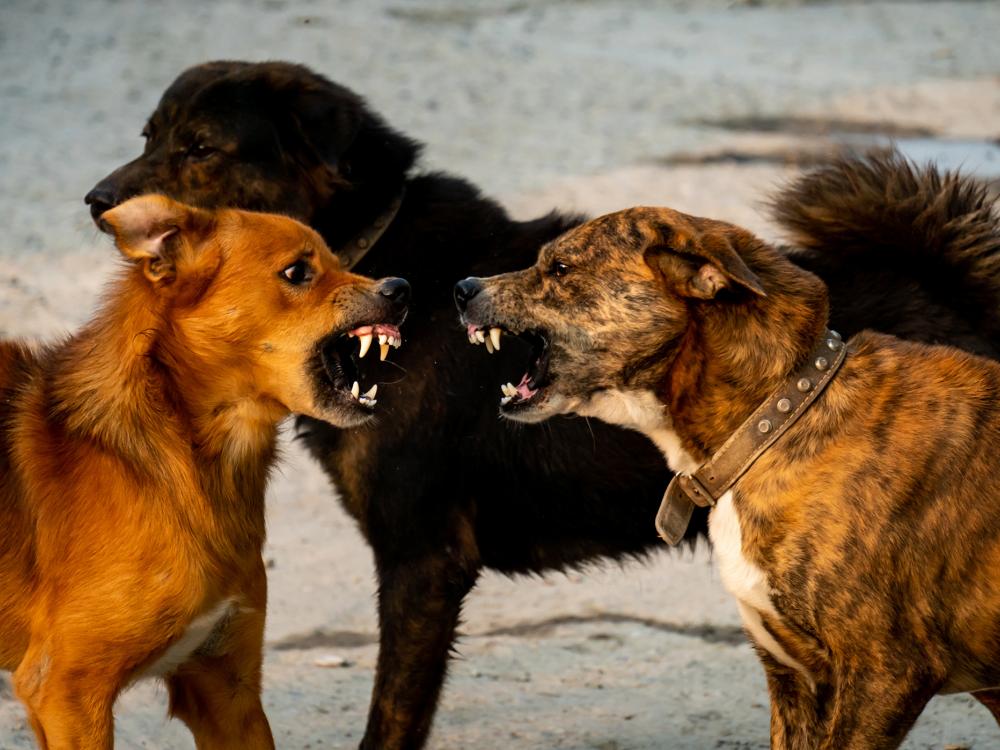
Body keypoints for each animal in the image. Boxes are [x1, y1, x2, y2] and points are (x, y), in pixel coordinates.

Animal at [0, 197, 406, 748]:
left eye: (339, 260)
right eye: (297, 272)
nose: (401, 289)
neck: (183, 466)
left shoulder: (226, 690)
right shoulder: (66, 690)